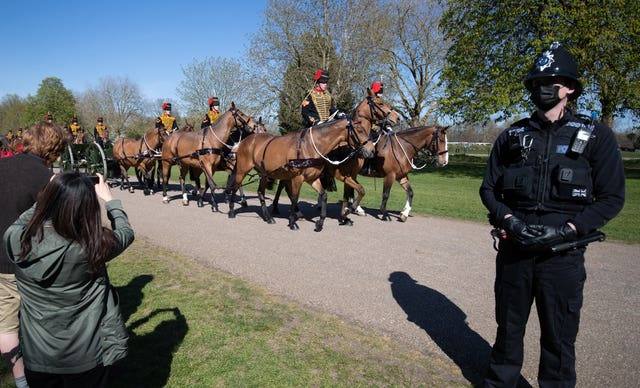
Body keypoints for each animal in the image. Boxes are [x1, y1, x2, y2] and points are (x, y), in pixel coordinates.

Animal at [226, 88, 400, 230]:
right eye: (380, 103)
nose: (397, 118)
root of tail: (246, 140)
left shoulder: (316, 177)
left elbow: (336, 194)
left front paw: (335, 218)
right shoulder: (311, 176)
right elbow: (295, 197)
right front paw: (293, 221)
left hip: (265, 173)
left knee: (262, 192)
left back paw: (269, 216)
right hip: (242, 170)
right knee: (236, 187)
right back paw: (233, 210)